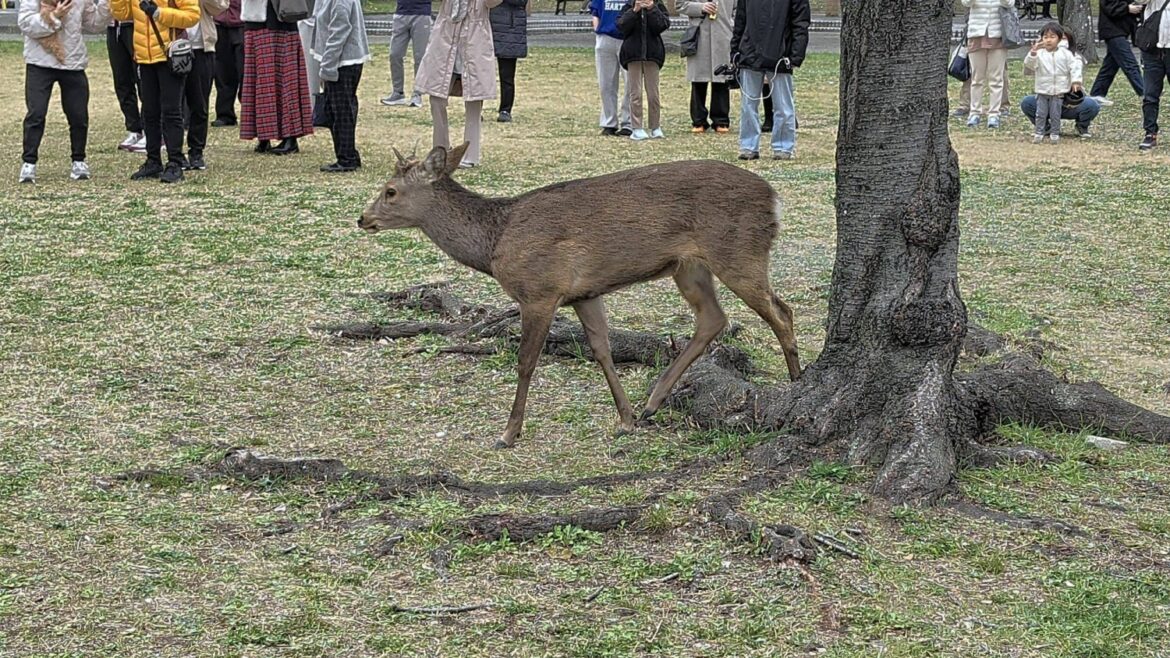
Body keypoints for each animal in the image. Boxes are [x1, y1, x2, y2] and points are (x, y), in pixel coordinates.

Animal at [358, 143, 802, 449]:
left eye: (390, 190)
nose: (362, 218)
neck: (494, 243)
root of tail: (774, 199)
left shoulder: (540, 290)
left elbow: (526, 363)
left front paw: (508, 432)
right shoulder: (585, 293)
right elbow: (602, 350)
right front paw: (625, 418)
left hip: (739, 251)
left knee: (781, 311)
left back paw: (797, 383)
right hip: (689, 266)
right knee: (714, 318)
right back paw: (652, 402)